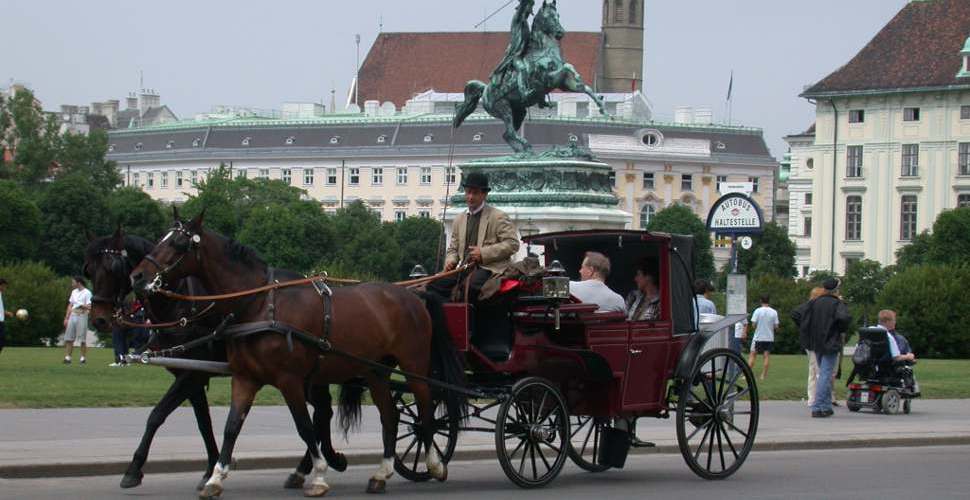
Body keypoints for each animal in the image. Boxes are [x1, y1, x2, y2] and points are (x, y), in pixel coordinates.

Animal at [130, 213, 466, 498]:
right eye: (161, 238)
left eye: (178, 243)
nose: (137, 276)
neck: (259, 305)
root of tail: (413, 294)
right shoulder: (244, 378)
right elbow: (231, 427)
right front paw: (215, 477)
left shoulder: (288, 379)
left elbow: (304, 426)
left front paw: (318, 474)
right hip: (376, 372)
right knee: (390, 415)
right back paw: (381, 473)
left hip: (413, 365)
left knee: (425, 410)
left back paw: (434, 463)